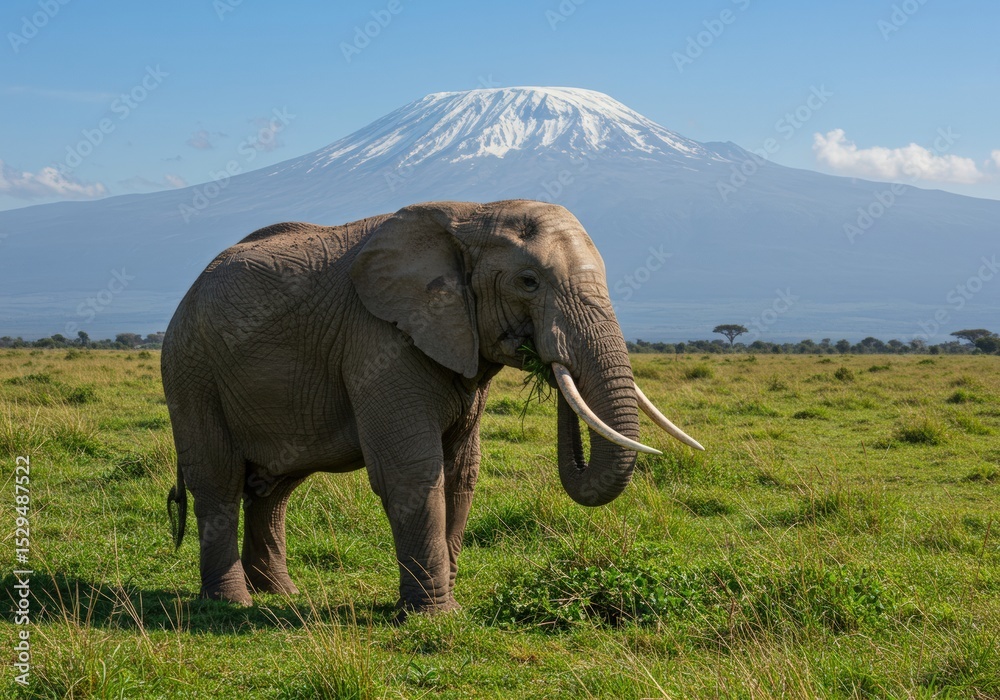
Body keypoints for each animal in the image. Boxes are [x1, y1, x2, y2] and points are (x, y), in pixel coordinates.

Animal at [161, 199, 702, 616]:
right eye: (528, 282)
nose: (547, 360)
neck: (472, 214)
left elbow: (461, 470)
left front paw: (447, 608)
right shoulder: (378, 340)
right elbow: (412, 469)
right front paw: (433, 616)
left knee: (275, 487)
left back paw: (281, 594)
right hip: (190, 368)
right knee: (219, 478)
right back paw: (231, 604)